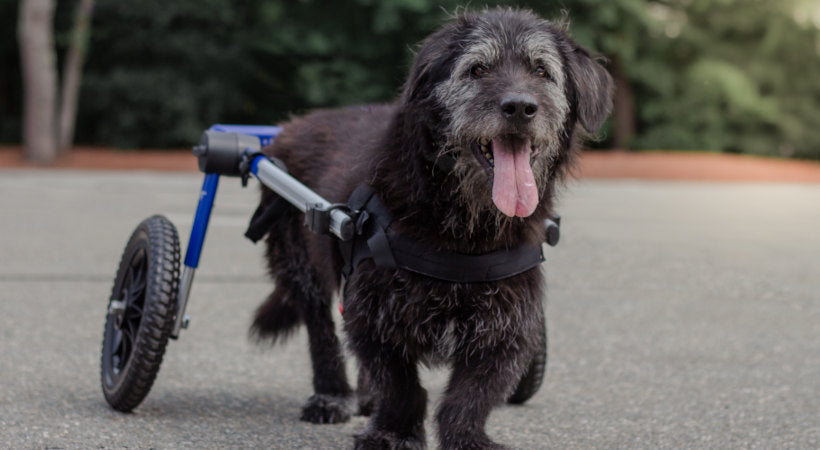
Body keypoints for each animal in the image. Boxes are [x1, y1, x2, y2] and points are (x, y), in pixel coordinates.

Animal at [253, 7, 612, 450]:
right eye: (477, 69)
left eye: (542, 71)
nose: (519, 107)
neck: (467, 231)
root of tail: (288, 128)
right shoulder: (374, 310)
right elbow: (400, 385)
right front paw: (392, 433)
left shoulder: (507, 325)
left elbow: (471, 395)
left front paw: (466, 438)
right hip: (301, 264)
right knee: (321, 332)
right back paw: (332, 395)